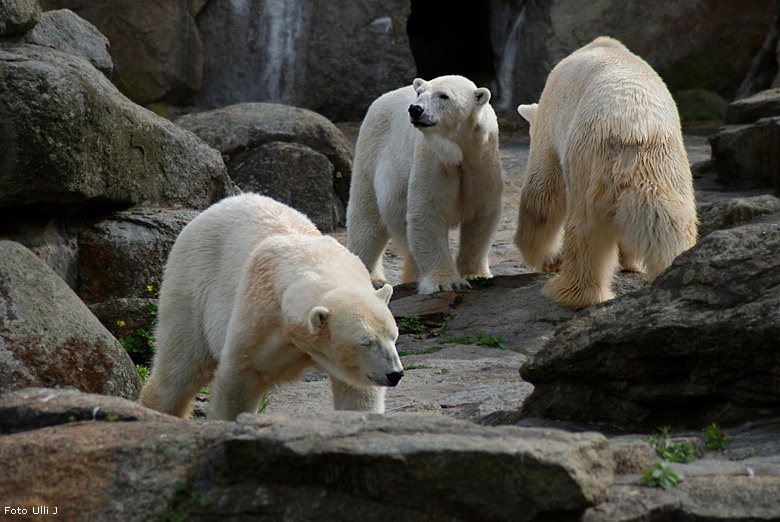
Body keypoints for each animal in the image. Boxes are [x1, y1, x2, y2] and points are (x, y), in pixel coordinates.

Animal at [140, 192, 406, 418]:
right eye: (366, 341)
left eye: (394, 336)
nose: (395, 374)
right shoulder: (259, 317)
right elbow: (238, 377)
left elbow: (357, 393)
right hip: (192, 282)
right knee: (181, 366)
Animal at [344, 74, 502, 292]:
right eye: (419, 92)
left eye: (443, 96)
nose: (415, 109)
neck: (458, 150)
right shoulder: (433, 159)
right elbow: (427, 211)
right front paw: (447, 282)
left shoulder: (482, 161)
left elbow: (481, 213)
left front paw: (475, 275)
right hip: (370, 152)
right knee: (366, 219)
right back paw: (371, 277)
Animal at [516, 36, 696, 308]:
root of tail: (634, 129)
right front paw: (629, 262)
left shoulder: (550, 125)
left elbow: (541, 194)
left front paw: (546, 259)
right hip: (667, 166)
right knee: (669, 222)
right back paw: (673, 271)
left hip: (588, 160)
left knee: (585, 228)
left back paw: (569, 291)